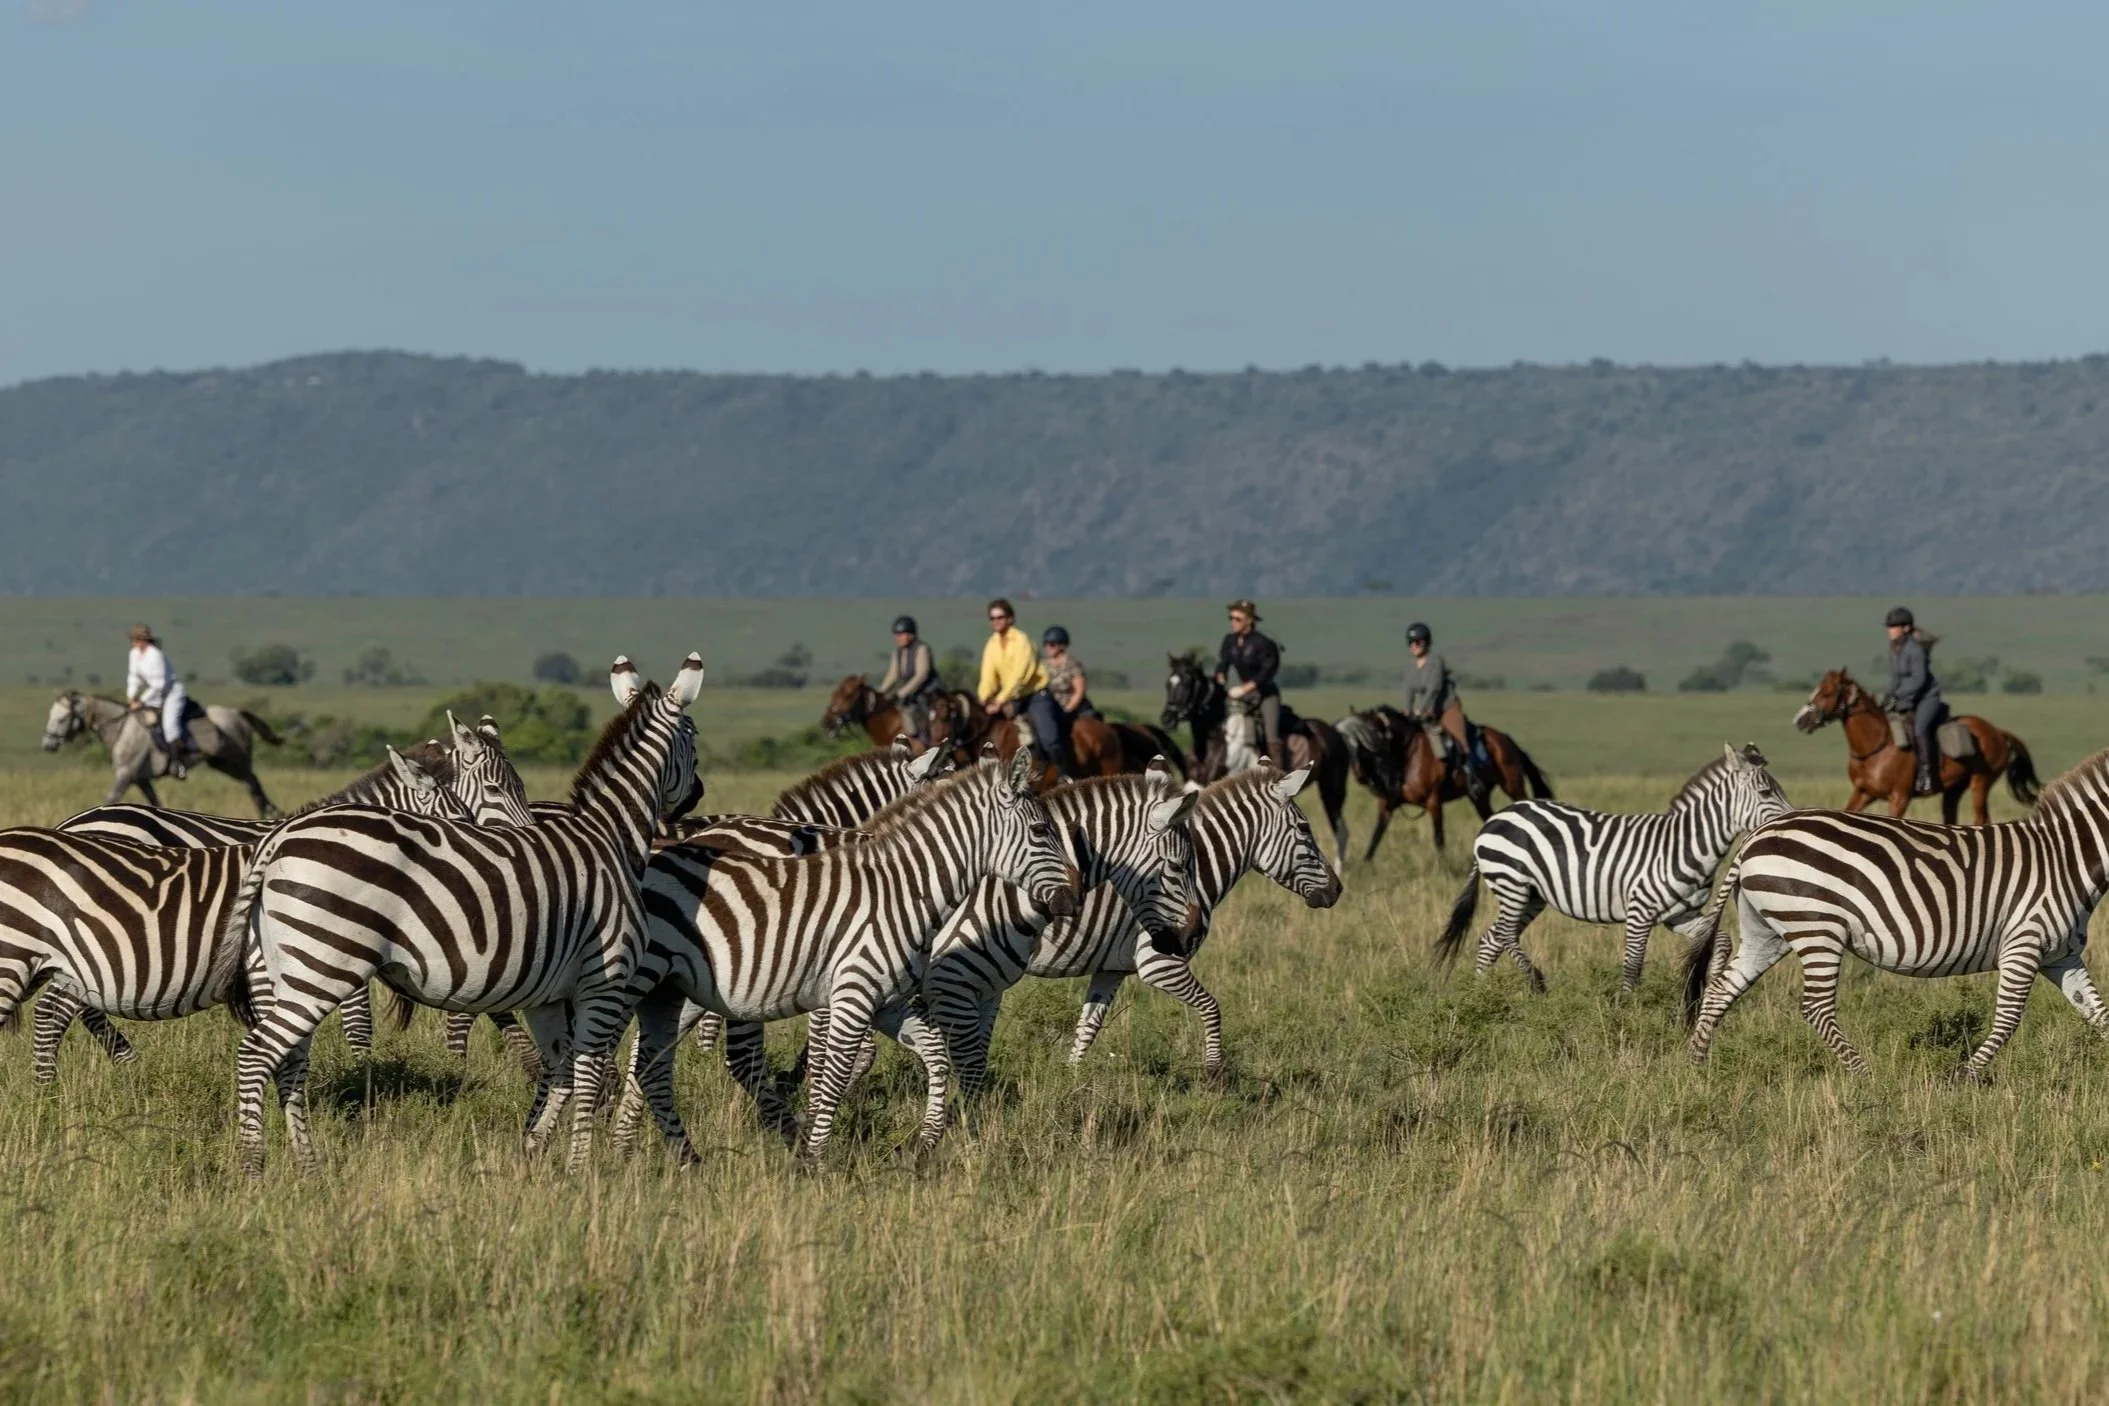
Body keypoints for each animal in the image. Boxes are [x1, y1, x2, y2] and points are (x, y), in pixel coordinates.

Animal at [211, 655, 705, 1176]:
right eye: (692, 737)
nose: (697, 794)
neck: (608, 834)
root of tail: (278, 838)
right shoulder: (605, 980)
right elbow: (586, 1074)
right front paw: (579, 1168)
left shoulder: (548, 996)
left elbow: (560, 1072)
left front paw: (532, 1153)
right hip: (323, 966)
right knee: (255, 1055)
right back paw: (252, 1165)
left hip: (283, 970)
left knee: (289, 1061)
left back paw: (308, 1165)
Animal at [609, 757, 1198, 1145]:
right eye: (1178, 866)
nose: (1189, 939)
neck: (997, 895)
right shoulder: (947, 983)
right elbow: (959, 1063)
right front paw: (967, 1133)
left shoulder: (980, 992)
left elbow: (965, 1060)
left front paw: (953, 1128)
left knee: (651, 1055)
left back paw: (629, 1143)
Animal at [1027, 762, 1343, 1075]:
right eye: (1304, 828)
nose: (1337, 889)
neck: (1193, 874)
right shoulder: (1159, 963)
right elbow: (1212, 1008)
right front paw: (1214, 1072)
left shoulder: (1111, 969)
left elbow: (1088, 1028)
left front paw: (1071, 1078)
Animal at [1434, 743, 1792, 995]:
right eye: (1765, 792)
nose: (1792, 818)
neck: (1684, 845)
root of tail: (1495, 818)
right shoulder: (1640, 910)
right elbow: (1632, 966)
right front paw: (1627, 1012)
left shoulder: (1680, 914)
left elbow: (1721, 942)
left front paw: (1707, 987)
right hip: (1512, 882)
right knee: (1505, 934)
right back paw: (1536, 983)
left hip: (1532, 895)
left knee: (1491, 939)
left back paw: (1481, 995)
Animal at [1683, 748, 2109, 1078]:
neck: (2065, 857)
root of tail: (1753, 837)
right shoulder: (2023, 944)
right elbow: (2008, 1020)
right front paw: (1962, 1078)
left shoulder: (2061, 956)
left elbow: (2098, 1014)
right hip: (1817, 927)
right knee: (1816, 1007)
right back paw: (1865, 1076)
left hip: (1767, 932)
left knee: (1721, 990)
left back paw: (1697, 1068)